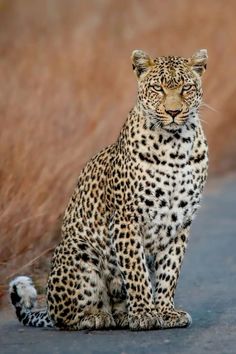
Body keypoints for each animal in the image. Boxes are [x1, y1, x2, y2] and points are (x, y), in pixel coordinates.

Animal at [9, 48, 208, 330]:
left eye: (186, 88)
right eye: (157, 88)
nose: (173, 112)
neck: (175, 145)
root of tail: (47, 308)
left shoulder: (180, 223)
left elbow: (170, 271)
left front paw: (165, 312)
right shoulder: (127, 219)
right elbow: (136, 270)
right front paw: (145, 313)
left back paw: (122, 315)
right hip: (78, 249)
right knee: (66, 317)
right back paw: (96, 316)